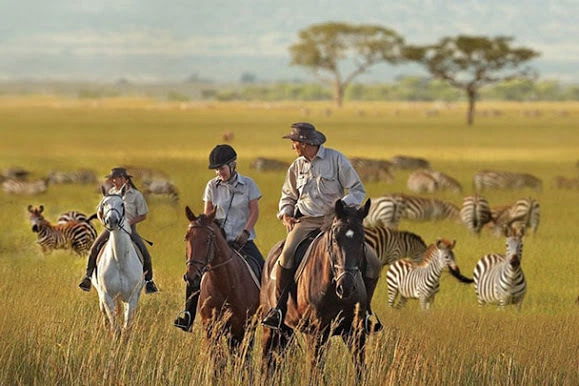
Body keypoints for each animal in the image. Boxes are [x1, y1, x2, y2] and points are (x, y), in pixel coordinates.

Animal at [94, 190, 145, 334]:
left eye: (122, 204)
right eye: (104, 204)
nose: (112, 220)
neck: (119, 261)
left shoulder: (131, 298)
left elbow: (127, 328)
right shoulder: (107, 297)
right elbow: (114, 326)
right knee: (105, 315)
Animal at [184, 208, 260, 356]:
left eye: (208, 239)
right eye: (187, 237)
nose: (191, 277)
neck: (225, 285)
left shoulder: (241, 328)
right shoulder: (211, 328)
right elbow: (217, 359)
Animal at [262, 199, 372, 380]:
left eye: (362, 240)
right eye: (335, 239)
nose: (346, 287)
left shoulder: (355, 333)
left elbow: (360, 371)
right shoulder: (315, 334)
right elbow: (315, 372)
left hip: (287, 330)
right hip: (271, 329)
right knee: (267, 360)